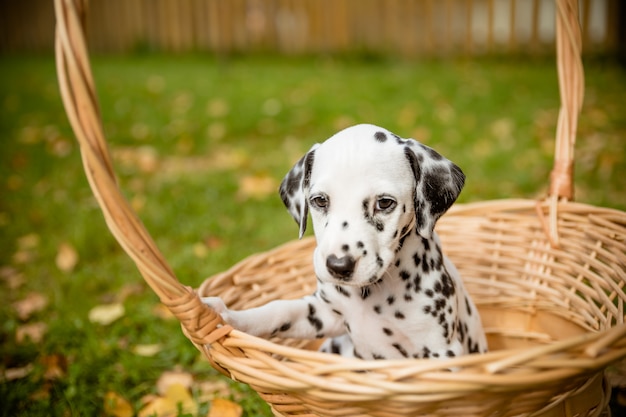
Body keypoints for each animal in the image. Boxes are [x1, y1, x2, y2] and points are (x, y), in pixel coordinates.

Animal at [202, 122, 486, 358]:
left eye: (384, 203)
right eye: (320, 200)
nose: (339, 266)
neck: (369, 296)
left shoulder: (440, 350)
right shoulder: (323, 313)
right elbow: (279, 311)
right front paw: (226, 316)